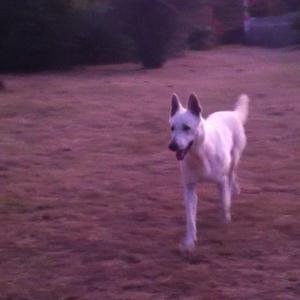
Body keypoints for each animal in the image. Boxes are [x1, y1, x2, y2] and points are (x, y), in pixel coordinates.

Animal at [168, 92, 250, 250]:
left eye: (186, 127)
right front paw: (189, 241)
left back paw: (233, 191)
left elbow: (224, 203)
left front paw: (225, 221)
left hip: (234, 159)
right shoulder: (189, 188)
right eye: (172, 128)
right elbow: (190, 218)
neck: (199, 155)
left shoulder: (221, 181)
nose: (172, 146)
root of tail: (233, 113)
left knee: (232, 175)